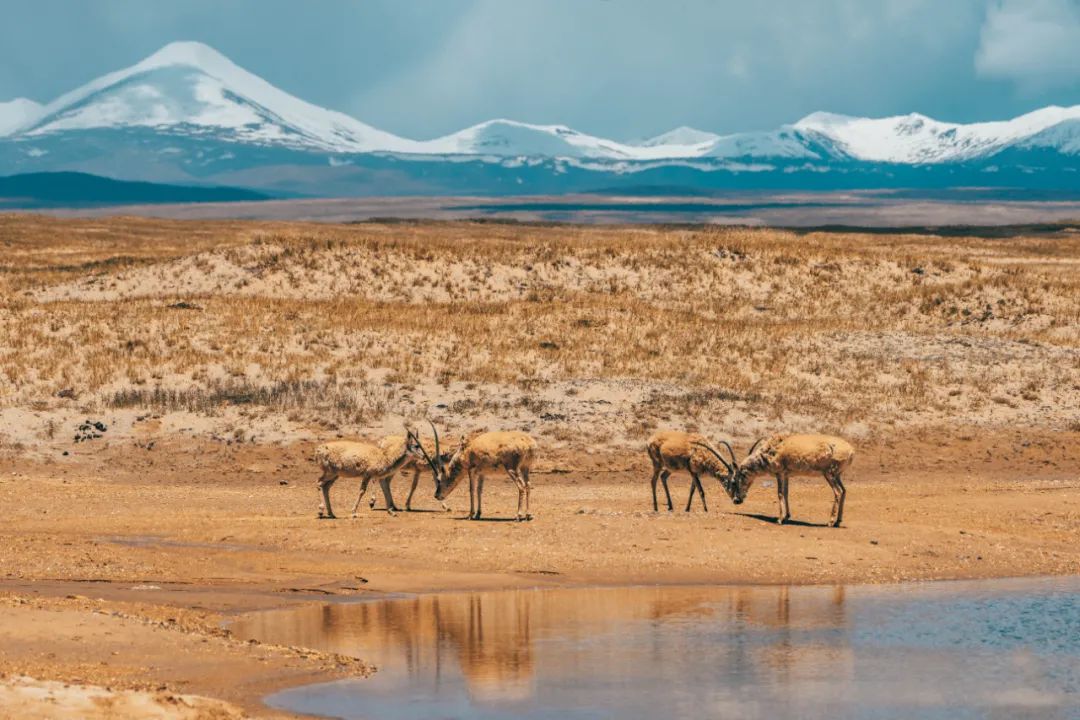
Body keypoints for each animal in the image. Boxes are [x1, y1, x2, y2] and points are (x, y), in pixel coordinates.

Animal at [691, 433, 859, 528]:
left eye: (734, 481)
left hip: (829, 474)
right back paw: (838, 521)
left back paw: (830, 522)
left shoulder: (779, 473)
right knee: (844, 491)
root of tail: (851, 450)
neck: (771, 449)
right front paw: (787, 516)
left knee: (838, 492)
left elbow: (779, 493)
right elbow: (786, 493)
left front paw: (779, 519)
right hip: (837, 475)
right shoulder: (786, 474)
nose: (737, 500)